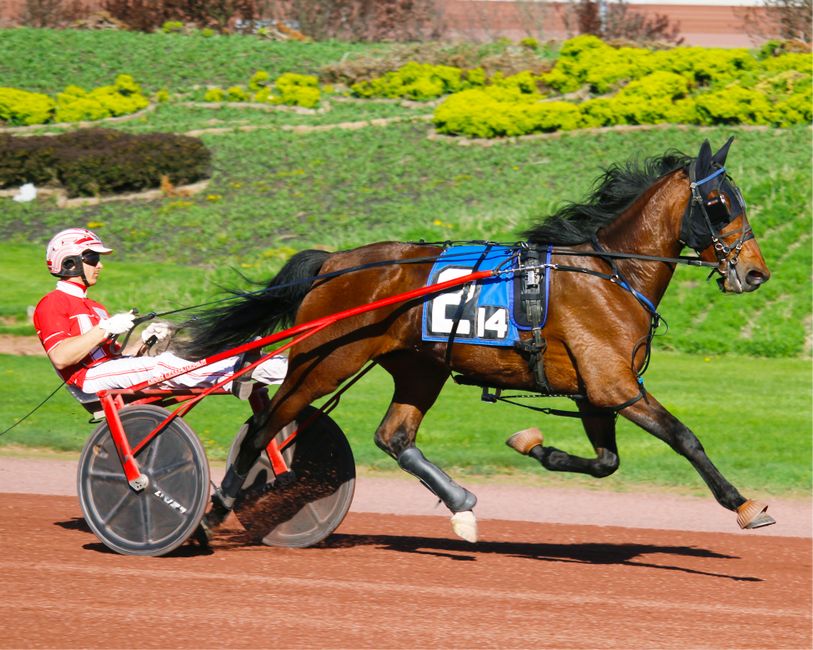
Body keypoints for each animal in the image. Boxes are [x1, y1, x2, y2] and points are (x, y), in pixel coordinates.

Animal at [184, 137, 774, 543]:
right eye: (719, 203)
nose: (755, 273)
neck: (610, 274)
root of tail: (333, 262)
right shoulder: (616, 386)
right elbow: (685, 438)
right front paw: (743, 504)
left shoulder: (595, 390)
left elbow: (605, 461)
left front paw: (535, 445)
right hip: (324, 360)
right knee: (264, 429)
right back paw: (214, 512)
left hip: (419, 367)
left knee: (394, 436)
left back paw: (462, 504)